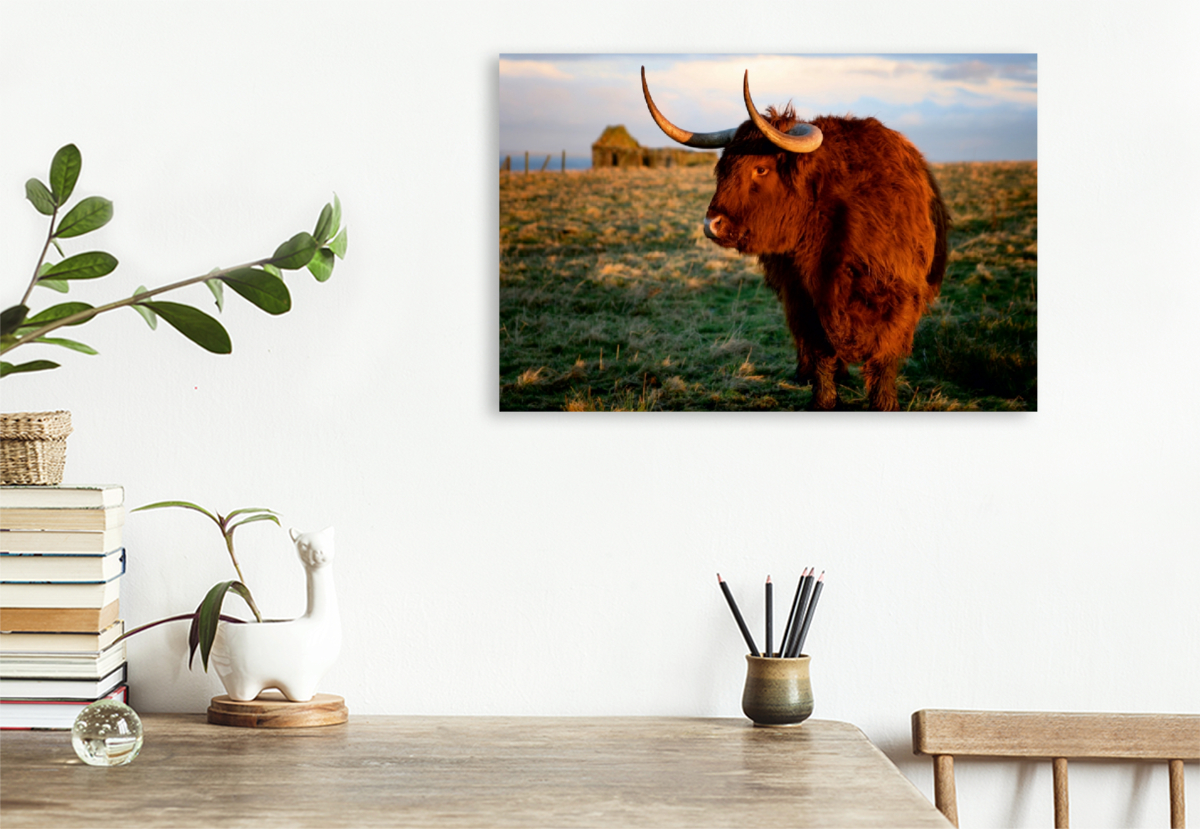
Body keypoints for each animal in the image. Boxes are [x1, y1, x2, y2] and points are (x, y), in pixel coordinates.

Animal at [643, 68, 950, 412]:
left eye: (761, 169)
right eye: (722, 169)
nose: (712, 225)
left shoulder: (898, 296)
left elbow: (884, 357)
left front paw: (884, 404)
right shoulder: (802, 296)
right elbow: (819, 351)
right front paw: (823, 400)